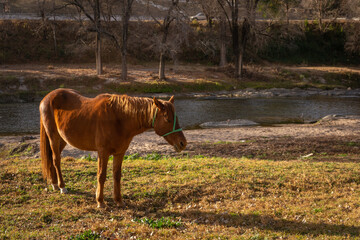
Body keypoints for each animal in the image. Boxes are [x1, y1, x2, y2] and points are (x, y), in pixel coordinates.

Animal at [39, 89, 187, 207]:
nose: (183, 143)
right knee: (56, 160)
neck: (118, 118)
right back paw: (62, 187)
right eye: (167, 119)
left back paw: (54, 183)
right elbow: (101, 175)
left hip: (63, 139)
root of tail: (47, 97)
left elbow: (116, 175)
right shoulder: (103, 152)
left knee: (52, 159)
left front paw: (118, 200)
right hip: (54, 137)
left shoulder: (120, 153)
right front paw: (100, 201)